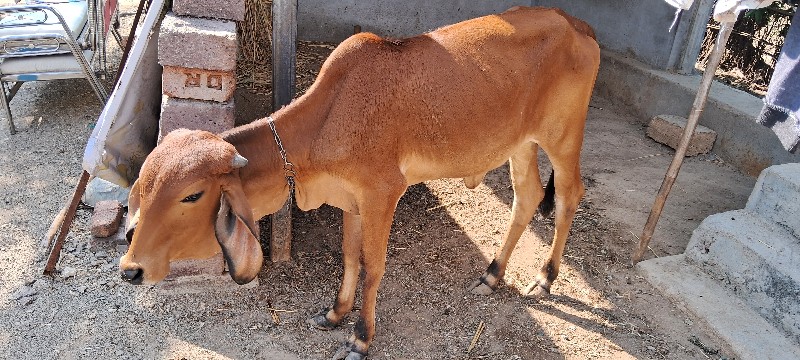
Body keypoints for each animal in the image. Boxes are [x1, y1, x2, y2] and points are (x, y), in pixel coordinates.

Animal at [120, 6, 600, 360]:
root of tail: (576, 24)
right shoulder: (350, 199)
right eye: (142, 189)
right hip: (521, 143)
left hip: (562, 137)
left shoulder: (382, 195)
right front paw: (336, 313)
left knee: (568, 195)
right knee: (527, 197)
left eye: (192, 195)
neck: (328, 118)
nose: (130, 270)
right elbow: (350, 257)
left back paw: (546, 276)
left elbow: (373, 267)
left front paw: (361, 336)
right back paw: (492, 273)